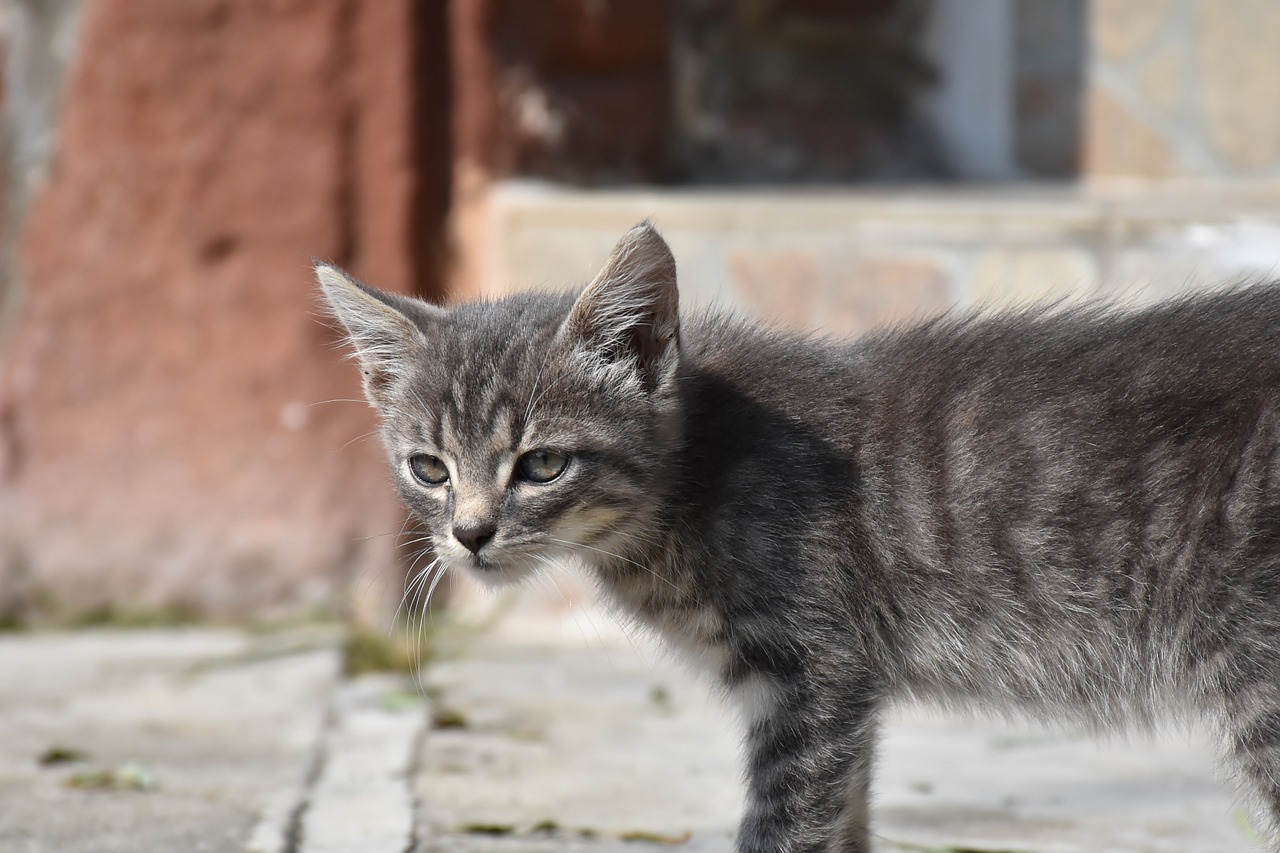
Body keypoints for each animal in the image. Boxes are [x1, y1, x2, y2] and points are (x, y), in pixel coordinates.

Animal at [314, 222, 1280, 845]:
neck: (692, 477)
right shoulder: (837, 695)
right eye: (429, 468)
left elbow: (781, 828)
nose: (471, 534)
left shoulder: (815, 675)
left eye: (543, 464)